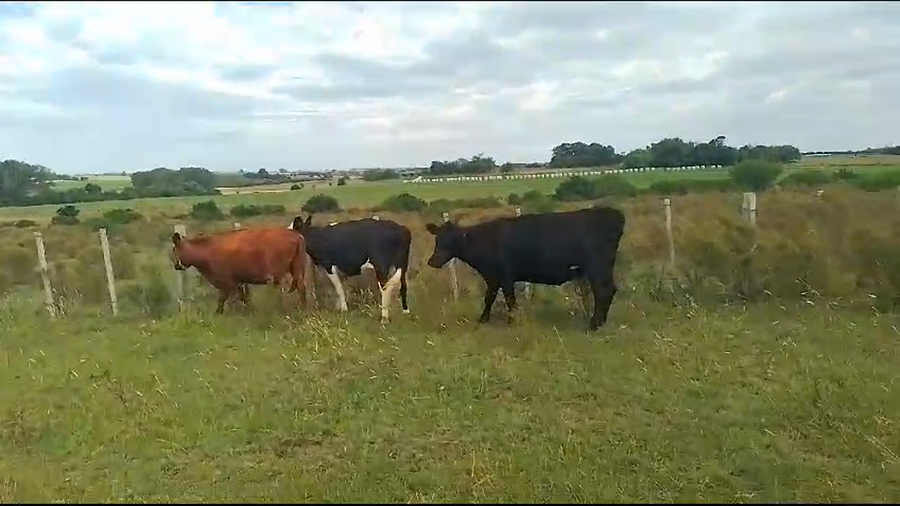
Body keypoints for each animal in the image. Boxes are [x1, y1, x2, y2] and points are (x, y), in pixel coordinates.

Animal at [170, 227, 308, 314]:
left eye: (174, 250)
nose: (176, 265)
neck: (208, 250)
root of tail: (295, 235)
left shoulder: (226, 281)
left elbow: (223, 299)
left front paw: (218, 313)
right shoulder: (237, 281)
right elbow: (243, 297)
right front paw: (250, 311)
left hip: (279, 274)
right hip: (297, 269)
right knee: (301, 287)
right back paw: (303, 308)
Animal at [425, 206, 625, 331]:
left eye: (452, 240)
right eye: (437, 239)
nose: (433, 261)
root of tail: (613, 214)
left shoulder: (505, 276)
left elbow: (510, 300)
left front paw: (513, 320)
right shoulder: (493, 277)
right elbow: (489, 298)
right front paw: (483, 319)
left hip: (598, 268)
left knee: (604, 291)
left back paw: (593, 325)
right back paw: (599, 322)